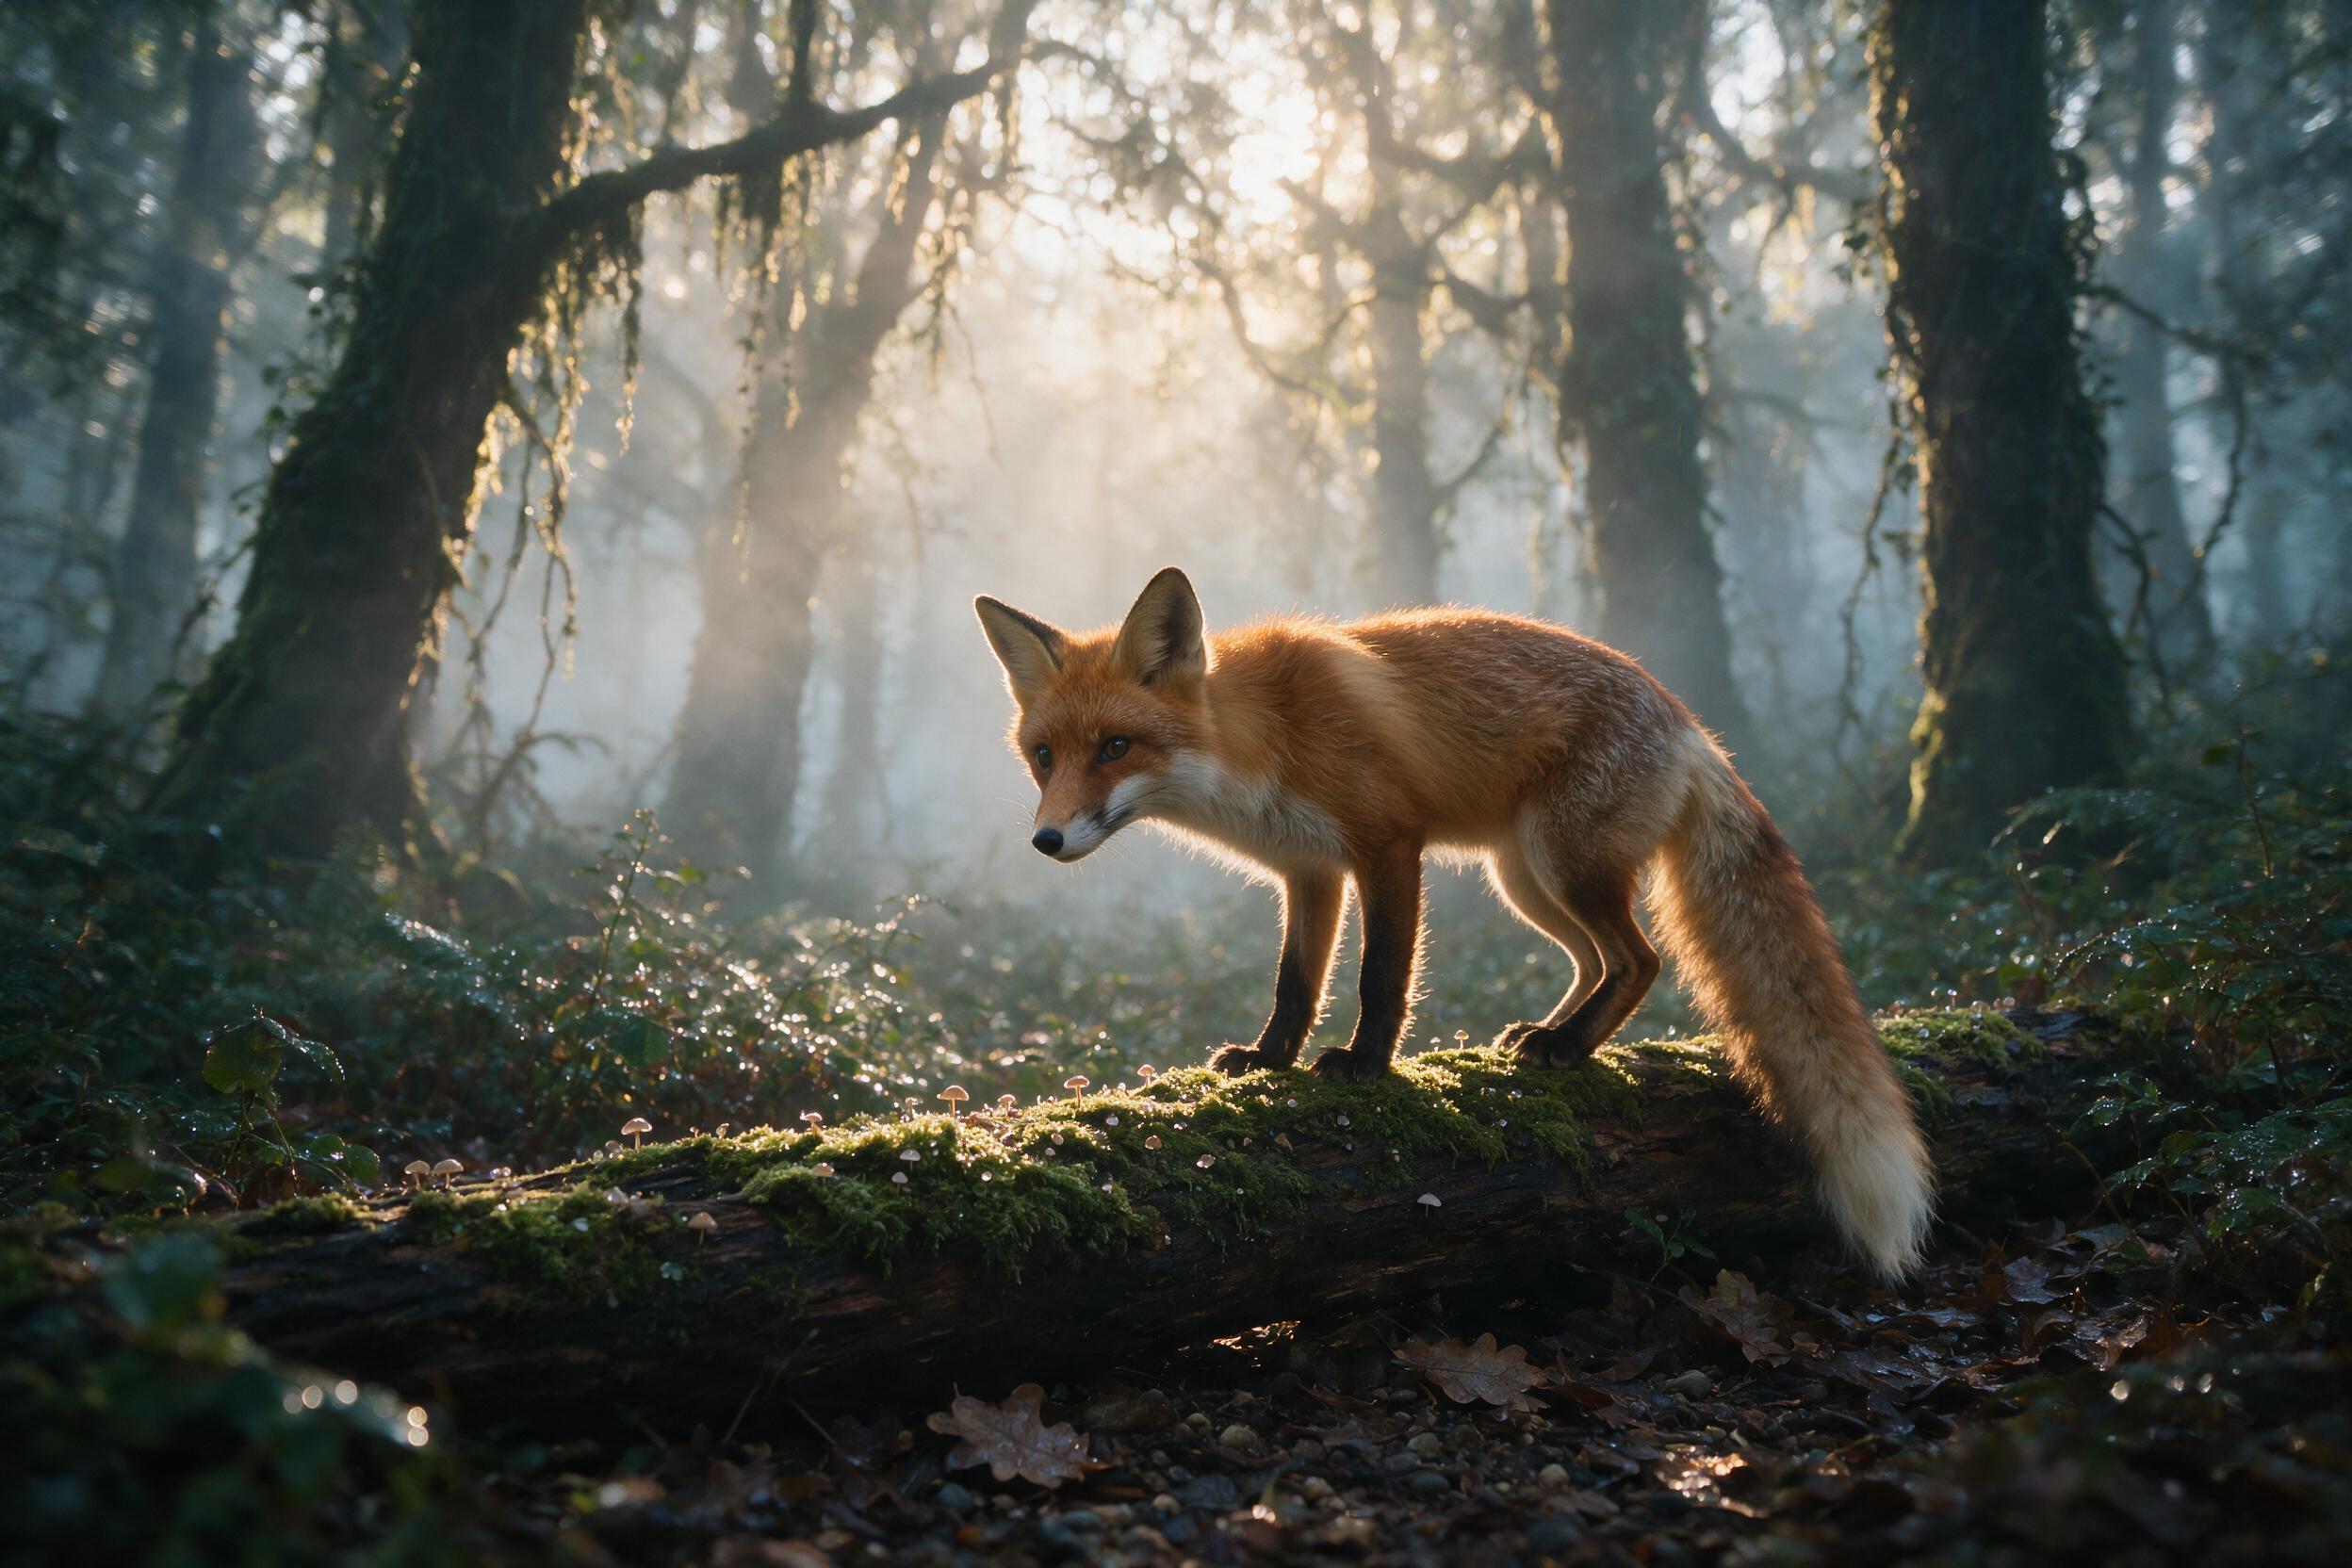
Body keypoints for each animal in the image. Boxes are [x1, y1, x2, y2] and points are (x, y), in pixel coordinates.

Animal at [974, 567, 1934, 1278]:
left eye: (1116, 748)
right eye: (1044, 757)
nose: (1046, 840)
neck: (1259, 742)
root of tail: (1692, 725)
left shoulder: (1387, 847)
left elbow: (1380, 977)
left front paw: (1365, 1066)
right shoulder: (1309, 872)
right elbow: (1295, 984)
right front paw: (1269, 1060)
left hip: (1561, 865)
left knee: (1643, 960)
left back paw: (1568, 1046)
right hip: (1526, 881)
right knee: (1600, 963)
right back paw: (1543, 1035)